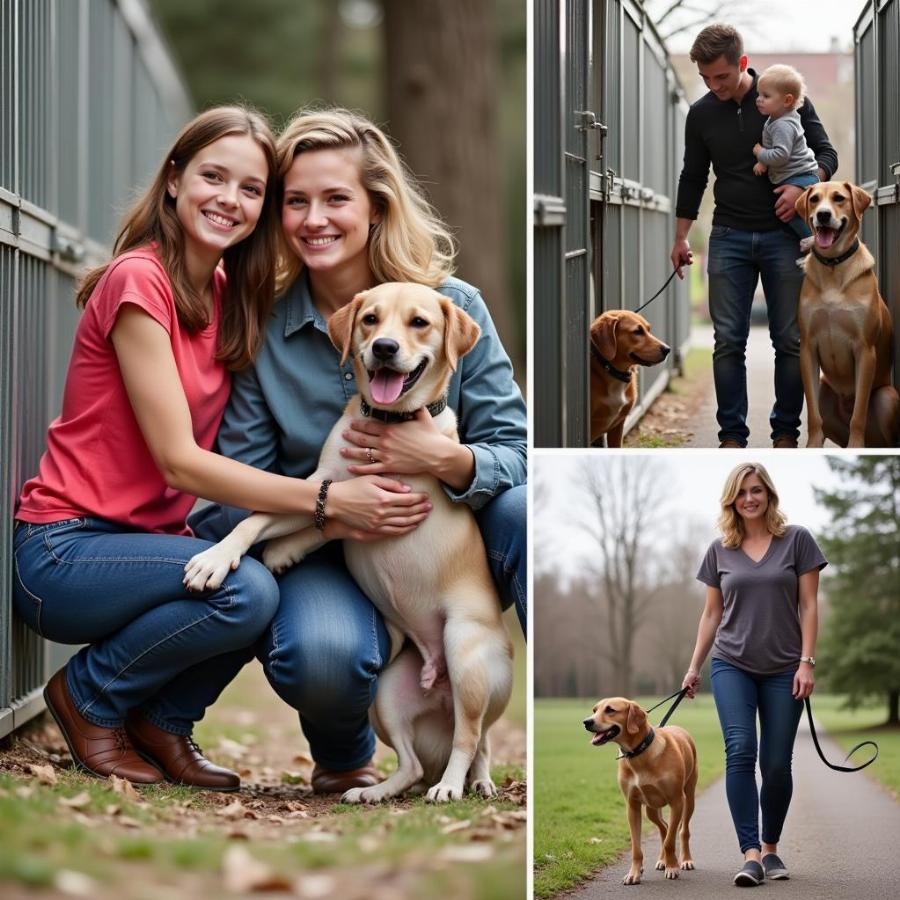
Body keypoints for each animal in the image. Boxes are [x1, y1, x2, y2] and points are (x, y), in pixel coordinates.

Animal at [185, 284, 512, 800]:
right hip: (386, 696)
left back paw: (458, 784)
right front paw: (226, 558)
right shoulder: (320, 485)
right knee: (416, 763)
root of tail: (441, 686)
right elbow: (259, 520)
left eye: (419, 322)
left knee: (472, 738)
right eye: (370, 319)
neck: (389, 423)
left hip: (466, 657)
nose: (385, 348)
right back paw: (374, 791)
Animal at [580, 700, 700, 884]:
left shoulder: (676, 802)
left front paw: (673, 867)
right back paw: (662, 860)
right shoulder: (632, 806)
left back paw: (685, 860)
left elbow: (670, 841)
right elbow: (637, 847)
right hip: (651, 808)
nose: (587, 722)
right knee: (664, 828)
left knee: (681, 831)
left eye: (610, 710)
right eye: (594, 710)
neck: (639, 754)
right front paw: (634, 873)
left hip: (688, 799)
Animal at [796, 181, 900, 448]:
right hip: (825, 392)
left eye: (839, 198)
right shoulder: (807, 349)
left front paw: (856, 444)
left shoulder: (865, 350)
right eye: (814, 199)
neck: (833, 266)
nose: (823, 215)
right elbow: (813, 416)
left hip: (886, 398)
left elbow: (859, 413)